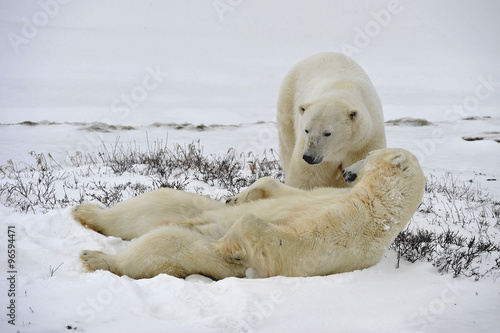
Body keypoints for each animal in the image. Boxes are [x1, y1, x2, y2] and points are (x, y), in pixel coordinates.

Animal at [74, 148, 424, 280]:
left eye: (368, 155)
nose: (349, 172)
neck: (375, 202)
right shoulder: (331, 196)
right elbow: (285, 191)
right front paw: (239, 196)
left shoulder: (350, 232)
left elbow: (289, 249)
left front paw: (229, 243)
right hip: (191, 204)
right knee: (157, 202)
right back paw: (87, 212)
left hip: (196, 253)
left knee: (165, 244)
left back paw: (98, 258)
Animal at [278, 50, 386, 188]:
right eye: (306, 130)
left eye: (327, 133)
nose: (309, 157)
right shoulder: (309, 149)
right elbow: (306, 178)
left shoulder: (364, 143)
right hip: (288, 104)